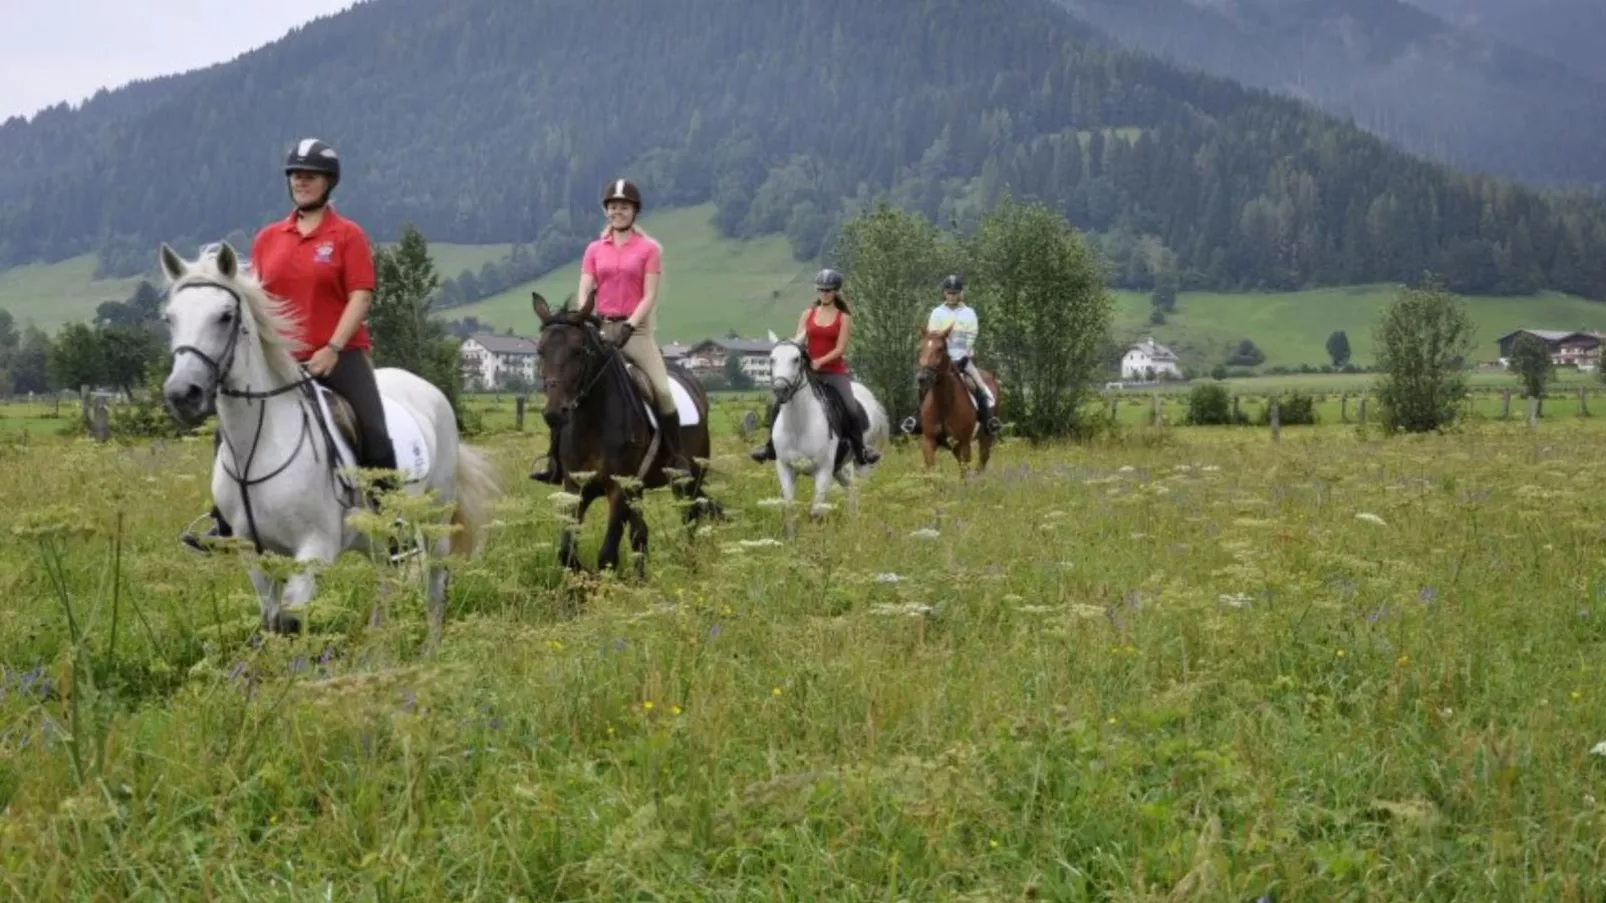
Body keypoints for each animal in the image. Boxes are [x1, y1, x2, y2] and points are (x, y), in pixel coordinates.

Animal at [157, 239, 497, 633]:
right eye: (170, 318)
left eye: (225, 316)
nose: (183, 394)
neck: (260, 446)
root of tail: (428, 389)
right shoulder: (254, 556)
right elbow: (271, 622)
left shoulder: (313, 551)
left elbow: (291, 620)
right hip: (377, 537)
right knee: (385, 581)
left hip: (434, 518)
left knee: (435, 585)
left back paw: (431, 643)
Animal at [533, 295, 722, 575]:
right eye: (541, 351)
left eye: (579, 351)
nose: (555, 413)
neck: (592, 425)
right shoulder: (575, 487)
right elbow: (566, 551)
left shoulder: (619, 488)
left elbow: (607, 555)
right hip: (639, 489)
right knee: (640, 534)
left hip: (687, 481)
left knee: (688, 518)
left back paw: (691, 565)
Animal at [764, 330, 892, 527]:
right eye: (772, 359)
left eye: (796, 359)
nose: (781, 389)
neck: (798, 425)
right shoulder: (785, 468)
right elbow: (790, 510)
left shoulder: (823, 470)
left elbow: (816, 511)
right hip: (839, 467)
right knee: (851, 490)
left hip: (855, 463)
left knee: (857, 488)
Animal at [918, 324, 1002, 478]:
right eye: (921, 348)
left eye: (941, 348)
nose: (922, 378)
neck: (943, 404)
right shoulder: (928, 441)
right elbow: (932, 473)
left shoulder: (964, 444)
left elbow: (965, 474)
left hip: (985, 437)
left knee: (982, 462)